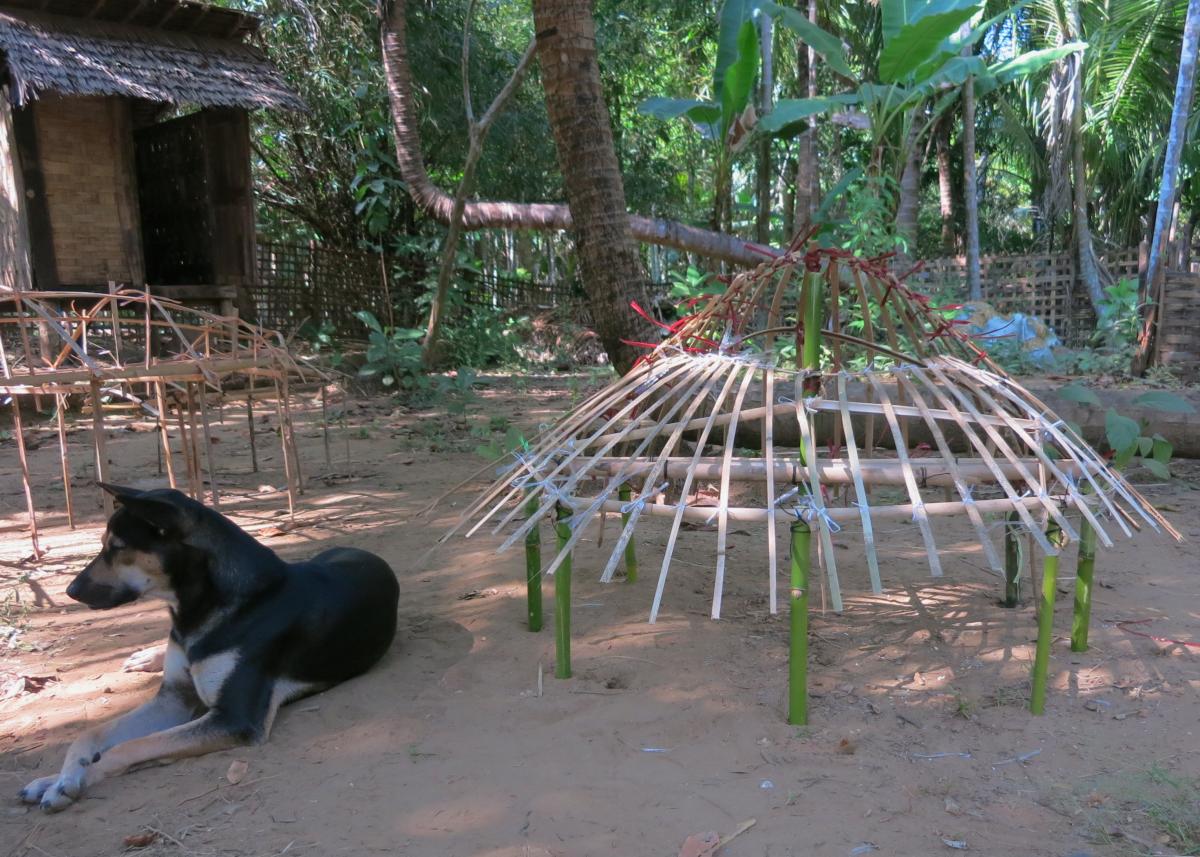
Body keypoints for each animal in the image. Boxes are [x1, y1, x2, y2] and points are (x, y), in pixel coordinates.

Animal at [16, 484, 398, 811]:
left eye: (117, 546)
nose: (71, 592)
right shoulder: (172, 699)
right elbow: (90, 733)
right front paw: (58, 777)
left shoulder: (233, 719)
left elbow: (128, 747)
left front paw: (69, 782)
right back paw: (146, 657)